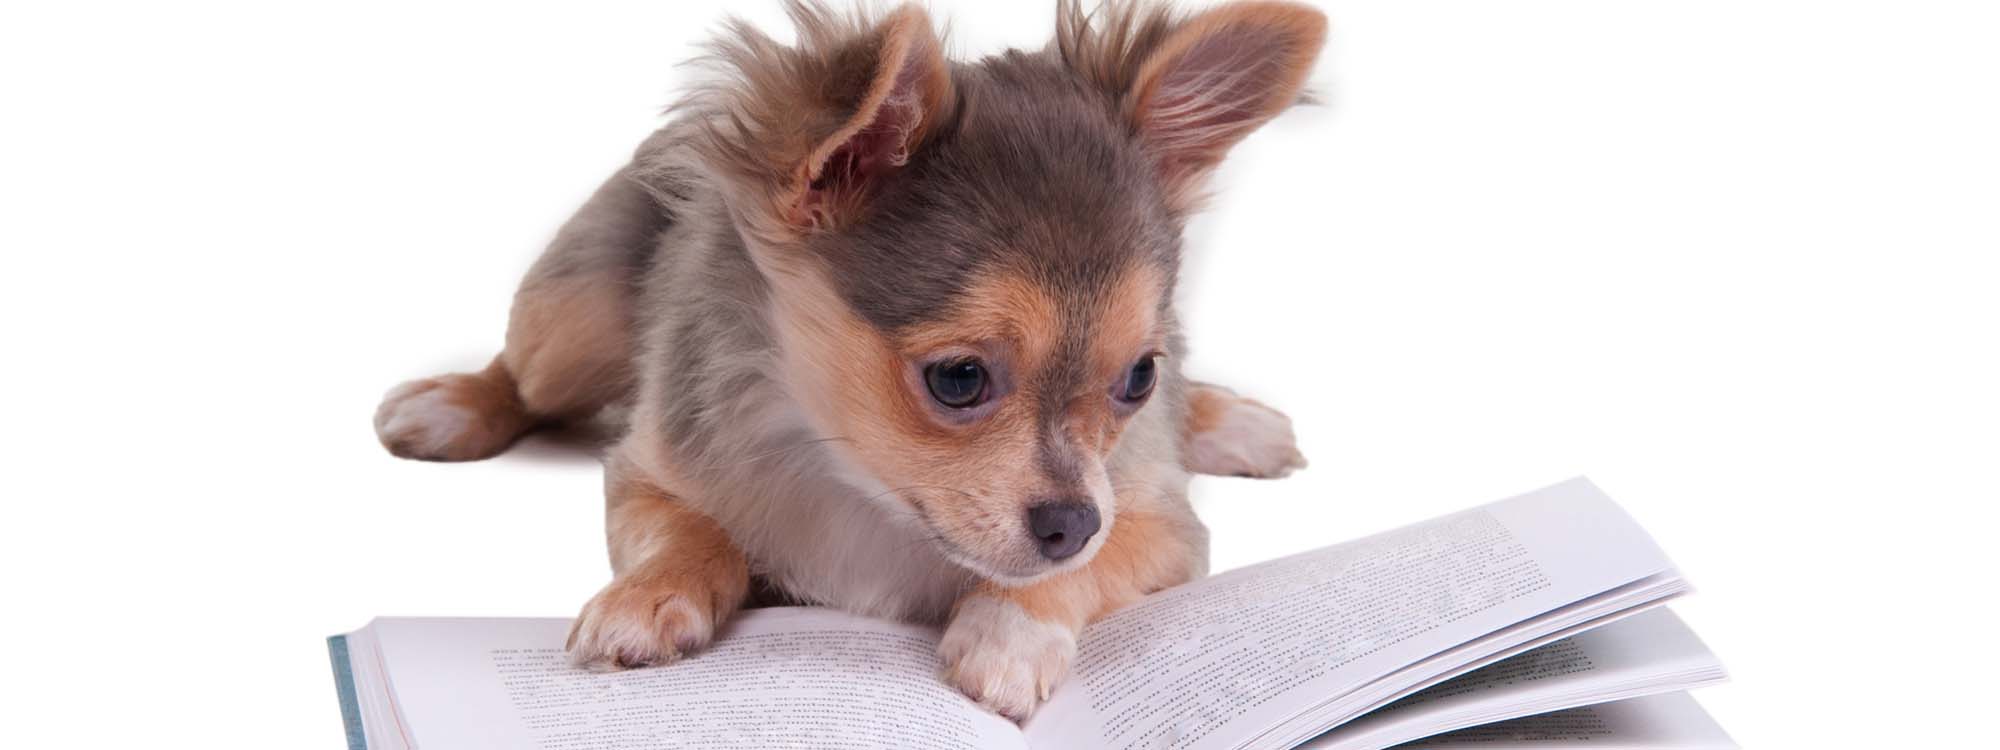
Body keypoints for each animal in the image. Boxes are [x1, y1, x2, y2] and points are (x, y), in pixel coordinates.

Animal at [374, 0, 1320, 720]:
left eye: (1137, 379)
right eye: (958, 380)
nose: (1072, 523)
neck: (862, 483)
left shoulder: (1159, 522)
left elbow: (1092, 562)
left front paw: (1010, 631)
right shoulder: (649, 472)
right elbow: (692, 531)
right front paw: (649, 596)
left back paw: (1232, 422)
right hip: (569, 322)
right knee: (525, 373)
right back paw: (454, 405)